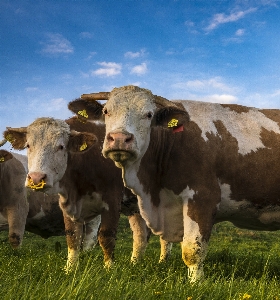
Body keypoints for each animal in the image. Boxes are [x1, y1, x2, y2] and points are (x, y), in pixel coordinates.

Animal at [4, 116, 171, 270]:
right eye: (28, 145)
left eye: (61, 147)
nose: (36, 178)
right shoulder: (68, 204)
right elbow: (73, 237)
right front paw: (70, 269)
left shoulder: (112, 200)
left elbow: (106, 236)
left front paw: (109, 268)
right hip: (134, 206)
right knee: (140, 234)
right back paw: (135, 263)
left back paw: (163, 262)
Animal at [68, 85, 280, 282]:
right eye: (106, 111)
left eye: (149, 114)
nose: (119, 138)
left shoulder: (202, 197)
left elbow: (192, 250)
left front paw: (196, 284)